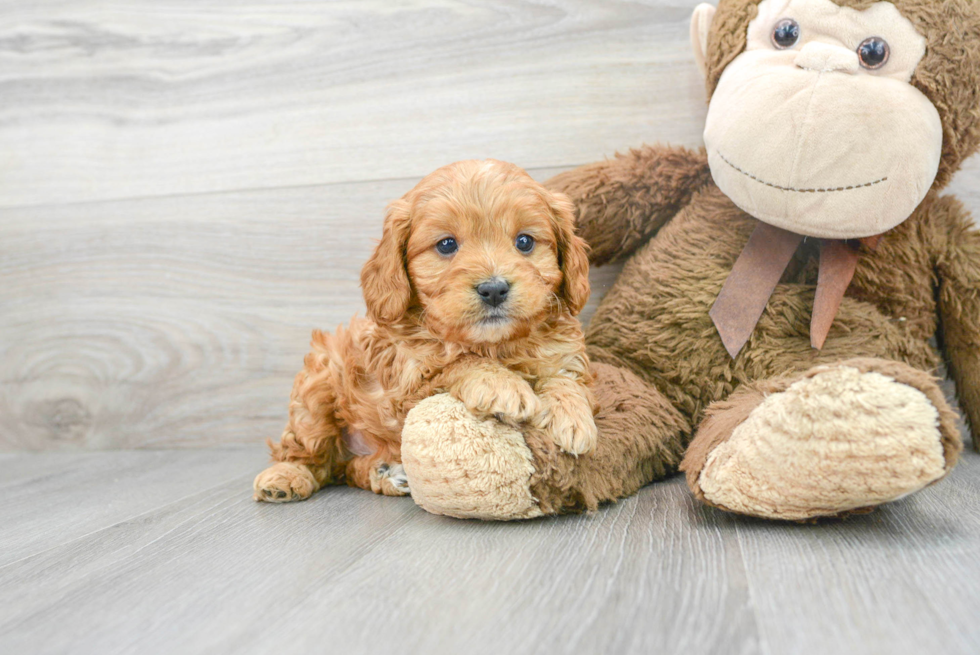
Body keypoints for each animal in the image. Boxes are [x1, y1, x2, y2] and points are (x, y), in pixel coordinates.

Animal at [253, 159, 596, 502]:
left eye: (524, 242)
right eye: (446, 244)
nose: (494, 289)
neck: (493, 344)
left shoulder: (564, 354)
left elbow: (564, 378)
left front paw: (572, 415)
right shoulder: (406, 384)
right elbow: (455, 363)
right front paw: (501, 385)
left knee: (349, 470)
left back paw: (384, 473)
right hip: (317, 388)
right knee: (309, 452)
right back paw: (285, 477)